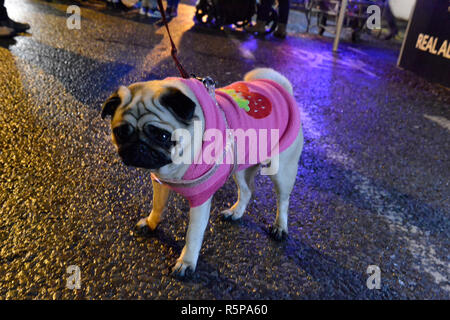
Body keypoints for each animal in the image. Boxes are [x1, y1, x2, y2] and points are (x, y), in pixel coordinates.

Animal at [101, 68, 304, 278]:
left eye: (163, 136)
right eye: (121, 133)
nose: (139, 146)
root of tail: (280, 88)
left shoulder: (200, 200)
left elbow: (193, 235)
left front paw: (186, 262)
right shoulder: (160, 183)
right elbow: (157, 206)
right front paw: (151, 223)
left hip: (282, 171)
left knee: (283, 200)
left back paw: (280, 227)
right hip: (240, 165)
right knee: (247, 191)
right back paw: (235, 212)